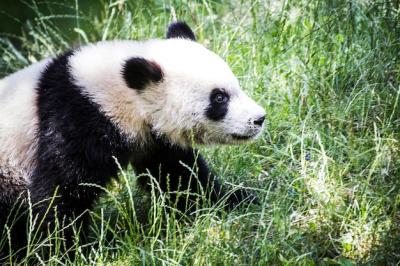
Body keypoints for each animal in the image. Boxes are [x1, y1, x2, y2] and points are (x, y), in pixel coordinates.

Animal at [0, 21, 266, 254]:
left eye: (235, 86)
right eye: (219, 98)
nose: (259, 119)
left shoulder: (153, 138)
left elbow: (178, 177)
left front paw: (235, 201)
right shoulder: (76, 117)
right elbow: (61, 187)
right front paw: (62, 250)